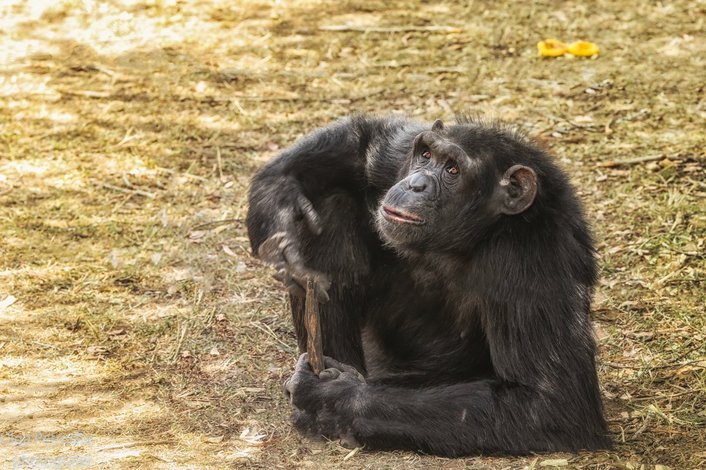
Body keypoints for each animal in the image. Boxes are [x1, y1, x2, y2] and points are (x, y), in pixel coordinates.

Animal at [245, 114, 608, 456]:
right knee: (334, 203)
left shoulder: (534, 261)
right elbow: (365, 143)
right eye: (425, 155)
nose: (416, 183)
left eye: (452, 169)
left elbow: (550, 403)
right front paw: (278, 203)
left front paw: (332, 399)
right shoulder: (395, 163)